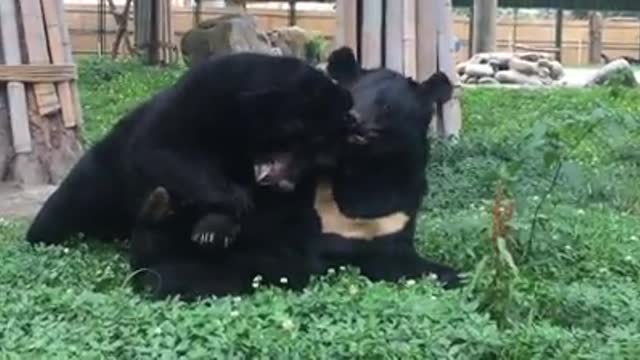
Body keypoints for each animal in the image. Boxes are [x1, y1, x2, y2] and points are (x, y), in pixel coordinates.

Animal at [25, 52, 360, 250]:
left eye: (317, 161)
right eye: (309, 140)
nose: (285, 183)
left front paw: (213, 229)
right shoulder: (200, 96)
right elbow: (161, 149)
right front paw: (234, 202)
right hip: (101, 175)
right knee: (65, 206)